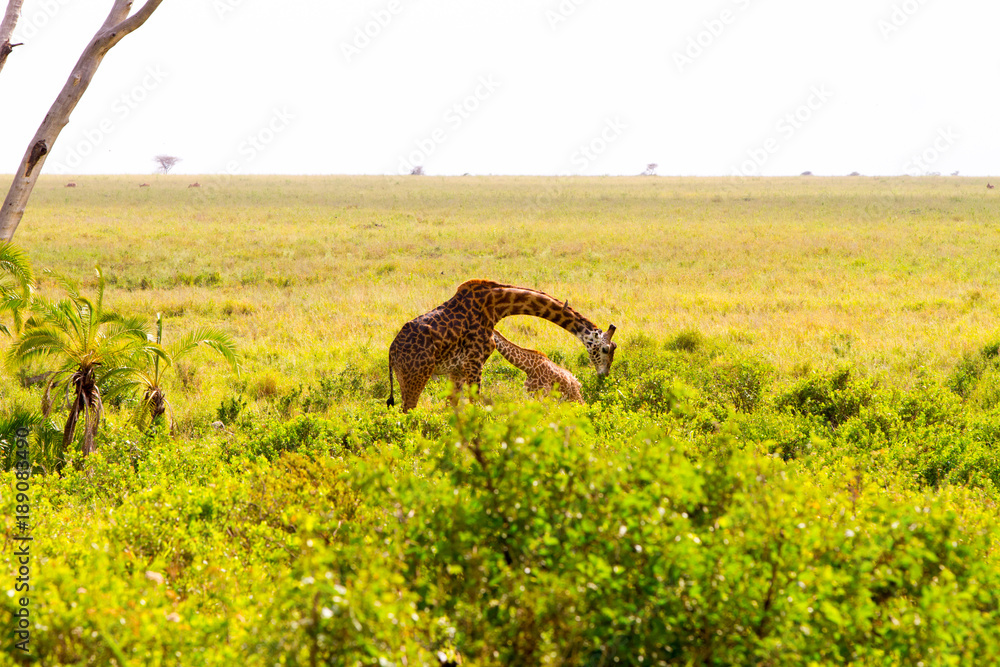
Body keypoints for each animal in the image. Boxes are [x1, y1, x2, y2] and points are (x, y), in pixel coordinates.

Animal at [387, 279, 616, 412]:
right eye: (605, 349)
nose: (603, 374)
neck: (496, 307)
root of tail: (392, 351)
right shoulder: (475, 362)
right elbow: (475, 404)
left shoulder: (457, 368)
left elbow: (452, 407)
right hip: (416, 376)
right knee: (407, 409)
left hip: (406, 377)